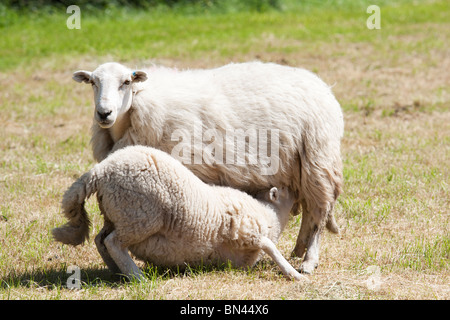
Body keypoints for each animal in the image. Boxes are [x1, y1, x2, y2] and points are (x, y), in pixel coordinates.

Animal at [51, 146, 308, 282]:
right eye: (286, 190)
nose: (298, 192)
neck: (270, 214)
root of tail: (100, 171)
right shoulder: (247, 231)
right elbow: (271, 247)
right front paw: (295, 274)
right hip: (140, 215)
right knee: (113, 242)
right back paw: (137, 276)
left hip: (117, 213)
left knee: (100, 239)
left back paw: (117, 270)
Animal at [72, 61, 342, 274]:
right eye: (93, 82)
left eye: (126, 82)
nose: (104, 113)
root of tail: (322, 86)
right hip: (299, 169)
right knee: (308, 211)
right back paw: (298, 250)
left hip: (317, 160)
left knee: (318, 213)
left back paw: (309, 260)